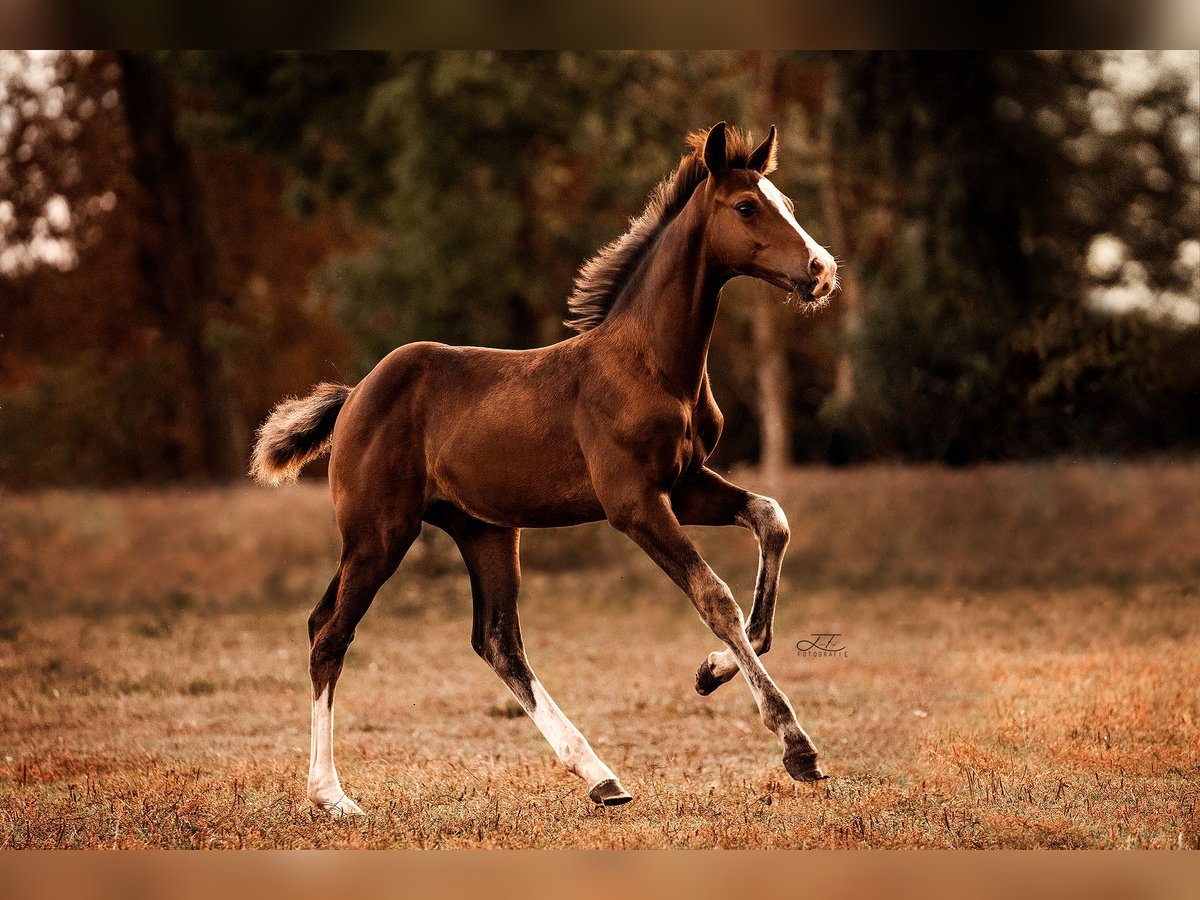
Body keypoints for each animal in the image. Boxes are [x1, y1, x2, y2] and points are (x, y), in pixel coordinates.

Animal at [252, 123, 835, 820]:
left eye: (789, 205)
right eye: (747, 207)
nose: (822, 269)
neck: (650, 364)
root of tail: (353, 396)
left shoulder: (686, 483)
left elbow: (771, 519)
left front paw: (710, 670)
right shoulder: (634, 503)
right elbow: (712, 592)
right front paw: (796, 745)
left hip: (484, 530)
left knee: (495, 639)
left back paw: (601, 777)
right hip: (378, 534)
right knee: (331, 635)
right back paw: (332, 794)